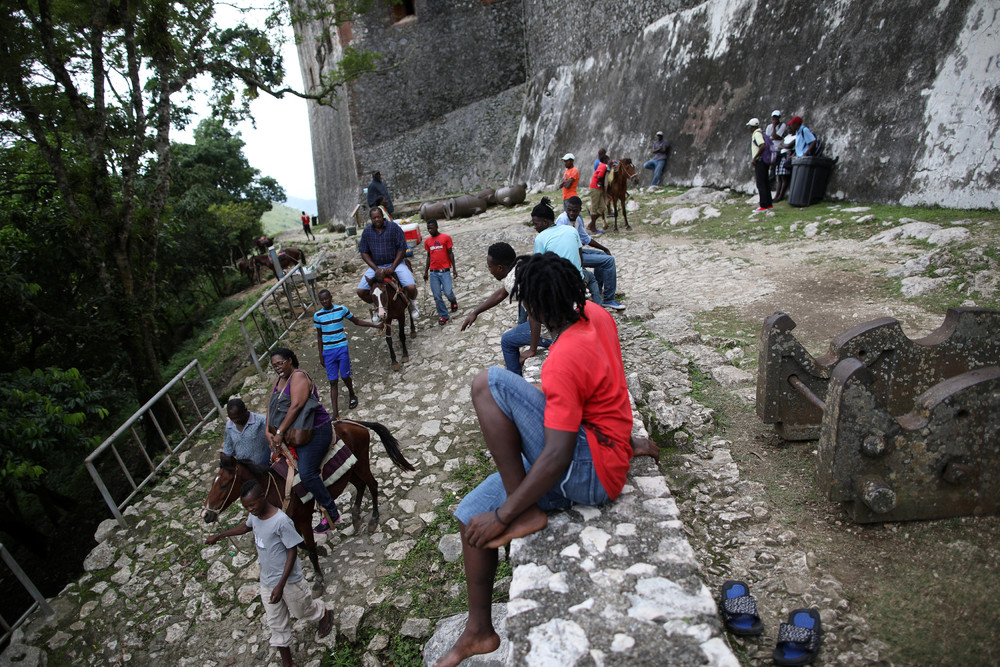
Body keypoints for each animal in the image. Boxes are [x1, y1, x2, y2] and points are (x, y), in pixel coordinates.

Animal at [203, 420, 414, 592]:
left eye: (223, 484)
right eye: (213, 483)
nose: (206, 514)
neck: (277, 489)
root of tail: (354, 423)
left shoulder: (303, 520)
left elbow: (310, 548)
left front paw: (319, 580)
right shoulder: (289, 522)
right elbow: (300, 544)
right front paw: (322, 550)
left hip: (361, 463)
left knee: (372, 485)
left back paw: (373, 519)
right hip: (349, 471)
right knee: (361, 486)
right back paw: (355, 518)